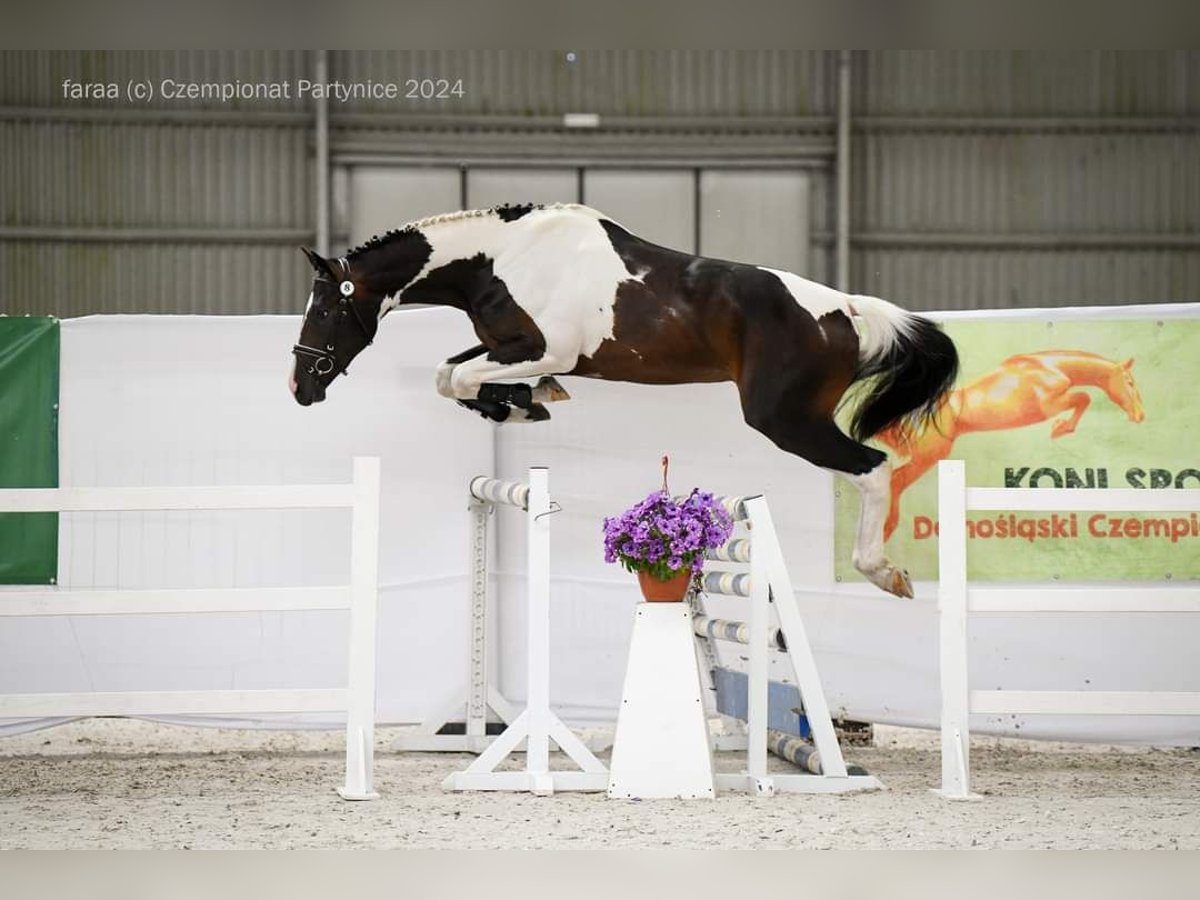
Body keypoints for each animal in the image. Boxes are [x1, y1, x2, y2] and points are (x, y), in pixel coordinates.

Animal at [290, 204, 955, 600]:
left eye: (324, 311)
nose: (301, 387)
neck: (500, 258)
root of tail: (846, 308)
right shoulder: (508, 345)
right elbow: (447, 374)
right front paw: (521, 401)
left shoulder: (544, 348)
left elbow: (457, 379)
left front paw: (523, 401)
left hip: (785, 419)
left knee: (873, 468)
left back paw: (884, 572)